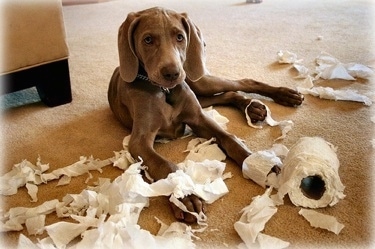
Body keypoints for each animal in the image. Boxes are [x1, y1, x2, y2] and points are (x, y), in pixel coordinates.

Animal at [107, 7, 304, 223]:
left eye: (180, 37)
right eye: (148, 40)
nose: (172, 73)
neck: (165, 92)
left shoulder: (199, 119)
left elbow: (229, 138)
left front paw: (256, 162)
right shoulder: (139, 141)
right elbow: (165, 164)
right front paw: (185, 196)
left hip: (200, 80)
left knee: (242, 82)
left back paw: (283, 95)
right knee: (229, 93)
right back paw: (252, 108)